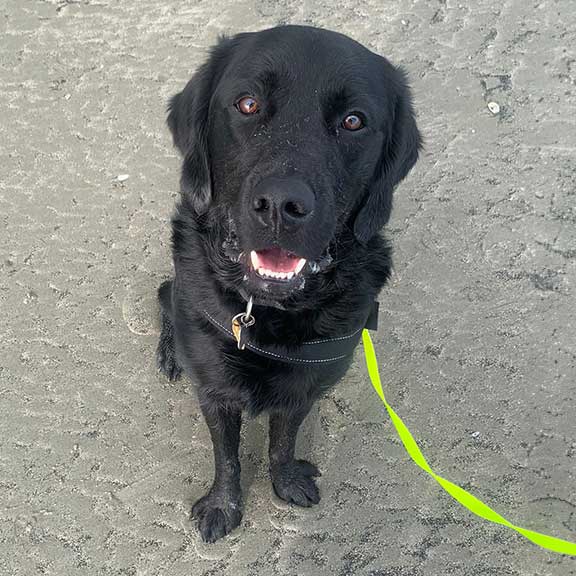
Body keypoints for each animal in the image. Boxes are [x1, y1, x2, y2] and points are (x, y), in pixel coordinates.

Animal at [156, 24, 418, 544]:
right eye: (247, 104)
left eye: (354, 121)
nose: (281, 204)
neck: (268, 315)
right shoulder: (214, 391)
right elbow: (227, 457)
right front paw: (223, 505)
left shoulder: (306, 387)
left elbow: (282, 440)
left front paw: (286, 479)